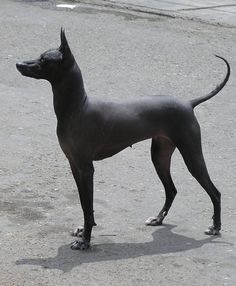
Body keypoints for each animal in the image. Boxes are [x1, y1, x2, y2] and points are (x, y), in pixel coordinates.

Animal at [16, 29, 230, 250]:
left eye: (44, 60)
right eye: (40, 56)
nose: (18, 64)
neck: (78, 107)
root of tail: (188, 103)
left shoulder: (86, 169)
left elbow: (88, 207)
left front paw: (85, 241)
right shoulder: (74, 166)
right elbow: (84, 204)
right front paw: (83, 232)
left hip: (191, 155)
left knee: (214, 192)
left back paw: (215, 227)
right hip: (159, 156)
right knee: (171, 190)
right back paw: (158, 219)